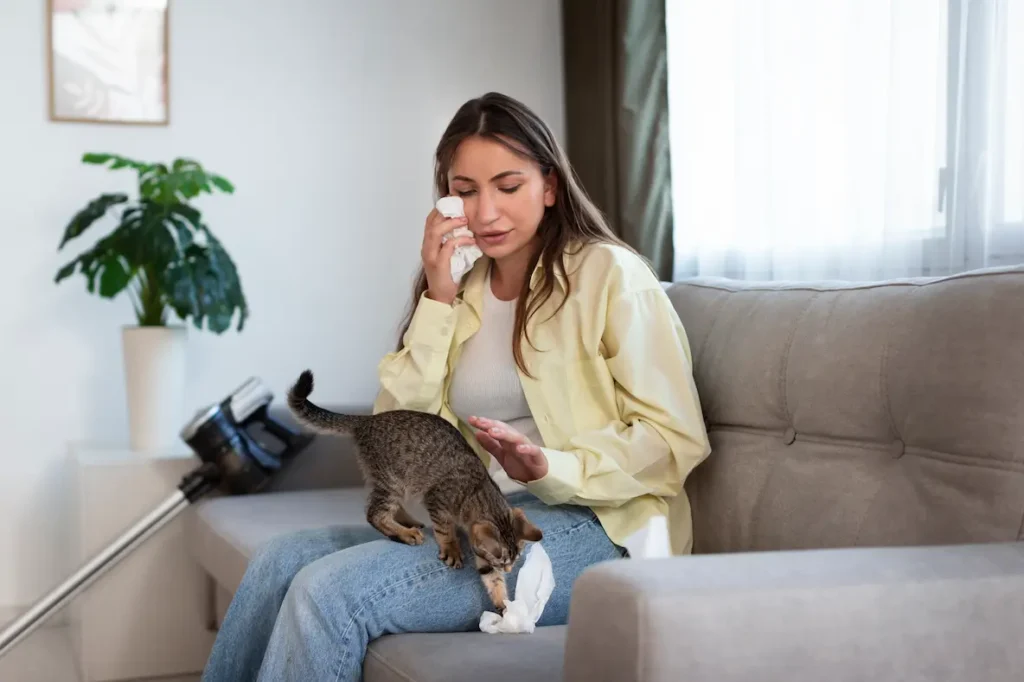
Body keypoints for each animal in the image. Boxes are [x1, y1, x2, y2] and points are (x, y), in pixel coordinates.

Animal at [288, 368, 544, 606]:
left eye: (513, 560)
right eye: (503, 561)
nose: (509, 570)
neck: (477, 492)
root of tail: (367, 420)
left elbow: (491, 579)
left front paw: (504, 606)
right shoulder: (437, 500)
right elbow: (444, 530)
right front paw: (451, 548)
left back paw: (407, 521)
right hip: (393, 480)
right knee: (374, 513)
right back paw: (404, 533)